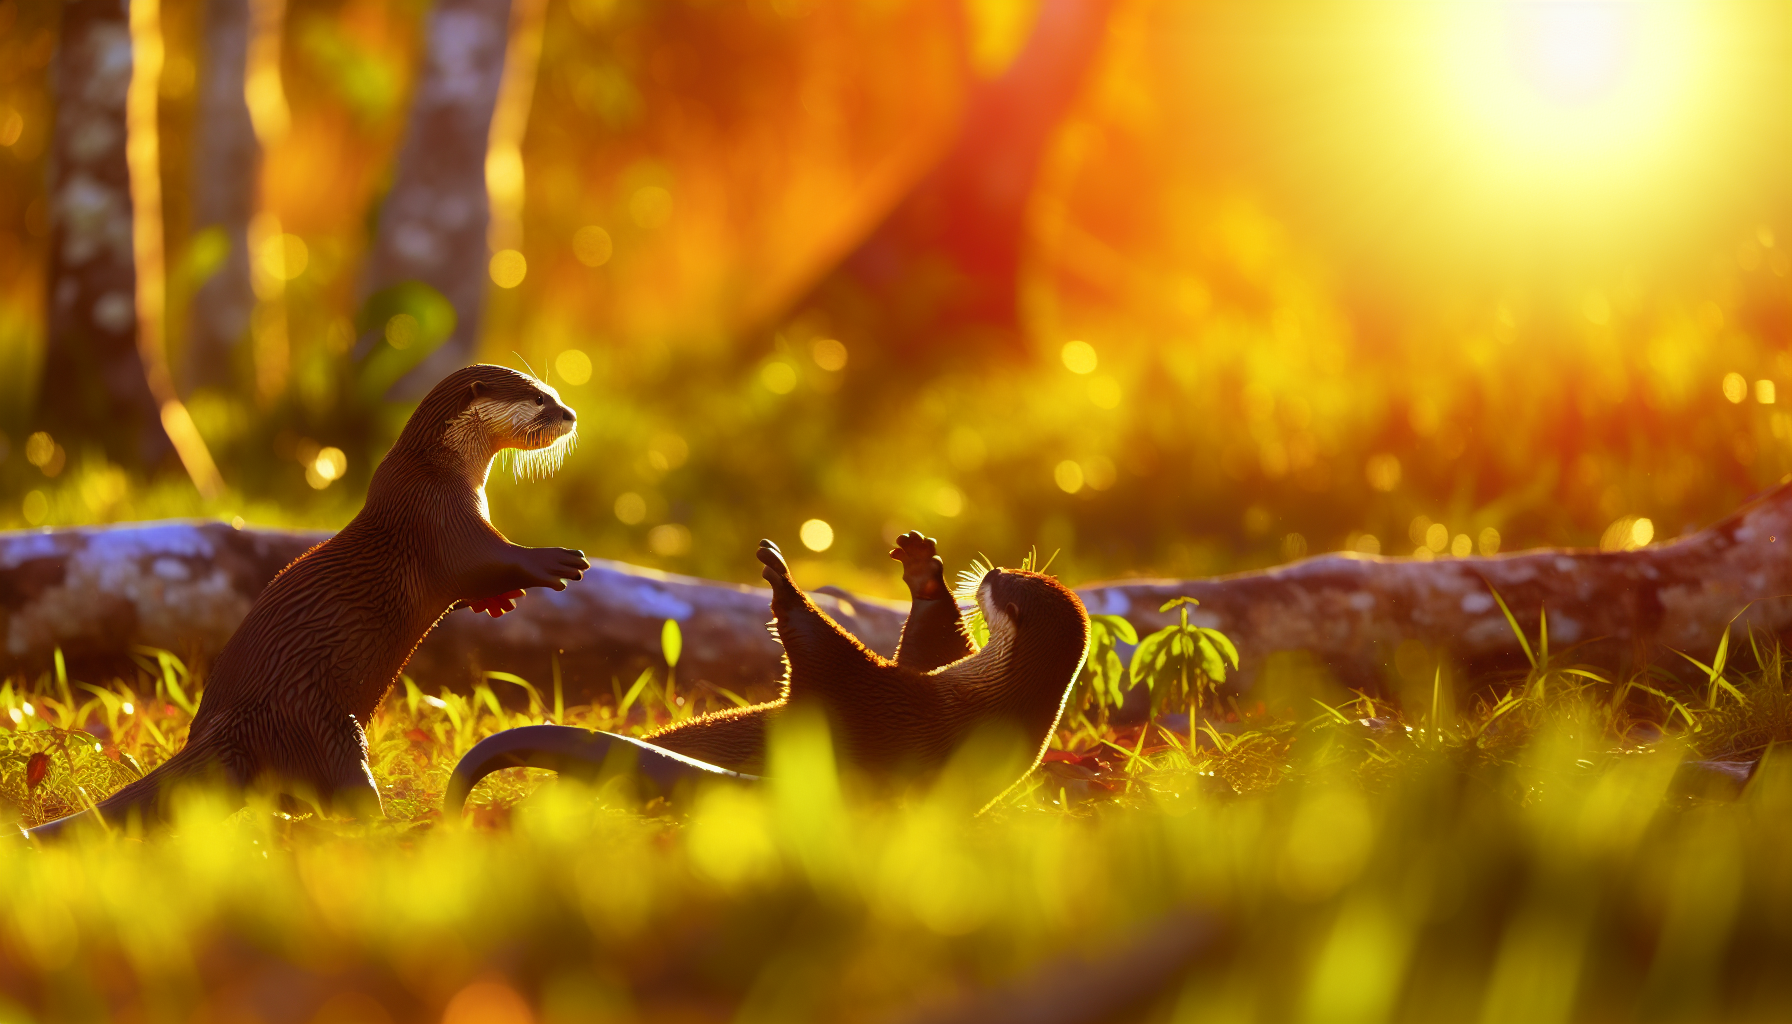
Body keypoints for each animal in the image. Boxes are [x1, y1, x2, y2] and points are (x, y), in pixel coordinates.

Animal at [26, 364, 589, 839]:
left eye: (553, 392)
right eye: (540, 399)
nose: (570, 414)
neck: (442, 471)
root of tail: (224, 730)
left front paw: (499, 601)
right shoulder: (441, 518)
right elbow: (484, 560)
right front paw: (553, 561)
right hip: (322, 726)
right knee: (345, 791)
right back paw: (393, 825)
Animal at [444, 532, 1090, 811]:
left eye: (1007, 589)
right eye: (1019, 573)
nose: (992, 571)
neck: (973, 701)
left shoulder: (888, 706)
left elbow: (827, 658)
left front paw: (783, 579)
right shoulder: (928, 674)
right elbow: (931, 641)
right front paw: (924, 567)